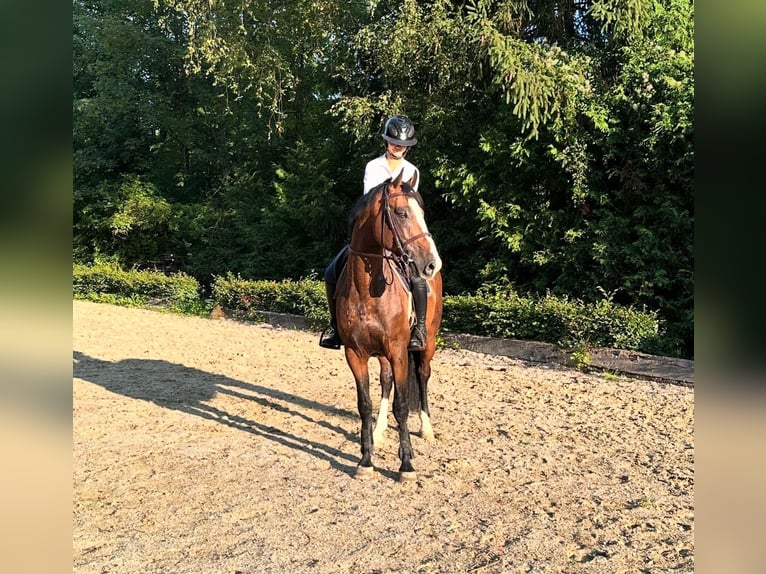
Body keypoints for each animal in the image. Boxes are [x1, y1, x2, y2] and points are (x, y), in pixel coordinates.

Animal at [336, 168, 444, 482]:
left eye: (422, 212)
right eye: (401, 213)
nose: (432, 263)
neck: (366, 290)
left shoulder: (398, 350)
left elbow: (403, 405)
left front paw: (406, 464)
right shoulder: (355, 353)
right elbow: (365, 404)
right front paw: (366, 460)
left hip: (427, 344)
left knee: (422, 377)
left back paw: (426, 428)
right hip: (382, 354)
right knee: (385, 382)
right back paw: (380, 431)